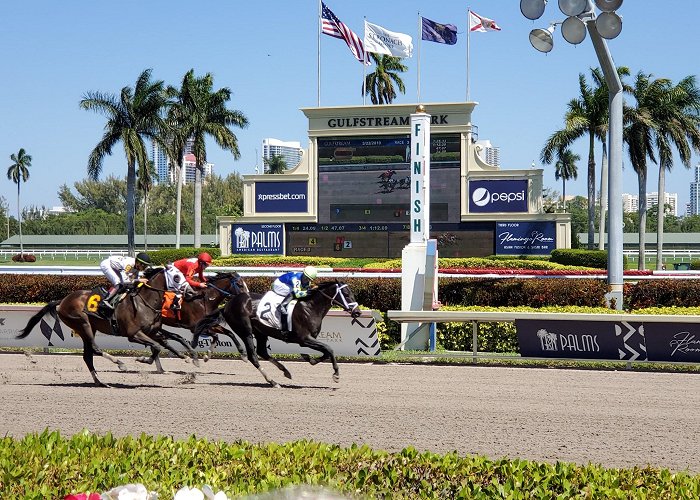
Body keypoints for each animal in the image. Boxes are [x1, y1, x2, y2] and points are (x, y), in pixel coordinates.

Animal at [19, 268, 178, 384]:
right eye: (177, 276)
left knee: (87, 355)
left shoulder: (152, 332)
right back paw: (119, 363)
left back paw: (99, 381)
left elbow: (160, 345)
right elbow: (156, 346)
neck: (143, 302)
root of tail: (62, 301)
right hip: (82, 323)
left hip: (88, 328)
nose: (183, 292)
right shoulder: (133, 334)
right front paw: (143, 359)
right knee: (94, 349)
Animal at [196, 280, 360, 388]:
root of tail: (226, 306)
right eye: (346, 294)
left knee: (262, 351)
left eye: (352, 292)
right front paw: (336, 375)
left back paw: (285, 371)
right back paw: (272, 381)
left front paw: (309, 359)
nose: (357, 312)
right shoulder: (304, 339)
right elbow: (330, 349)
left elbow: (326, 352)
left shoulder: (308, 340)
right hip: (246, 331)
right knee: (253, 356)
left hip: (260, 332)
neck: (310, 307)